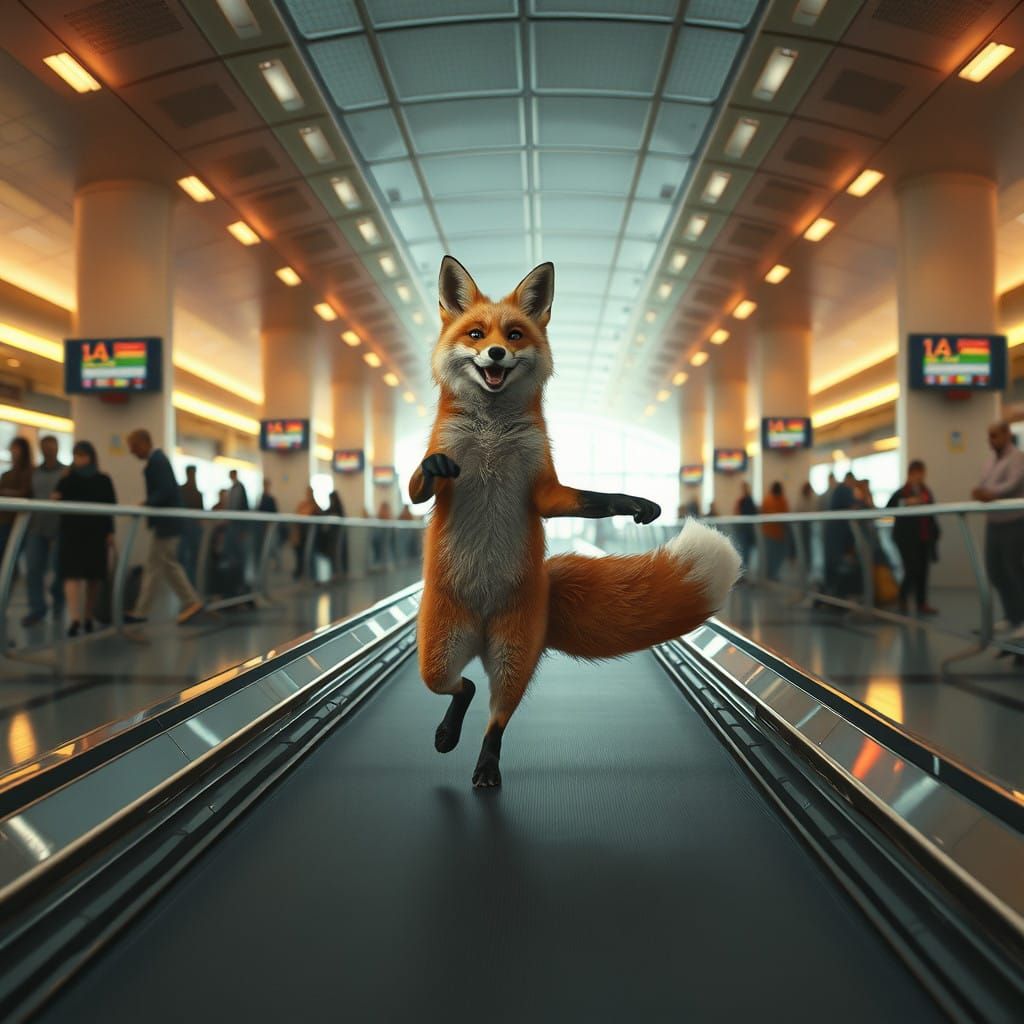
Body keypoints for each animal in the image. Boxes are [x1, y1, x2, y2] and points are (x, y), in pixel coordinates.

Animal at [410, 256, 741, 788]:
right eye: (476, 334)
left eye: (515, 334)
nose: (497, 353)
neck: (491, 434)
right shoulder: (442, 474)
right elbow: (420, 483)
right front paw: (433, 467)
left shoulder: (544, 488)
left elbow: (592, 499)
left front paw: (635, 503)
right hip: (436, 653)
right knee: (459, 687)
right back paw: (447, 733)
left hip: (511, 657)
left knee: (493, 712)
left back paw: (485, 764)